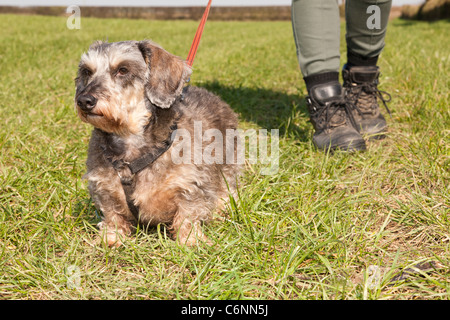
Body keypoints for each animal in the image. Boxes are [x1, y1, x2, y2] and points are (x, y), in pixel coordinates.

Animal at [75, 39, 241, 245]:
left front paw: (191, 242)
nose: (84, 100)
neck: (130, 141)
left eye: (123, 70)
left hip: (229, 161)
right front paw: (111, 239)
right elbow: (113, 215)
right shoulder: (104, 188)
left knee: (227, 187)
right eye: (87, 71)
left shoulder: (190, 184)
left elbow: (188, 214)